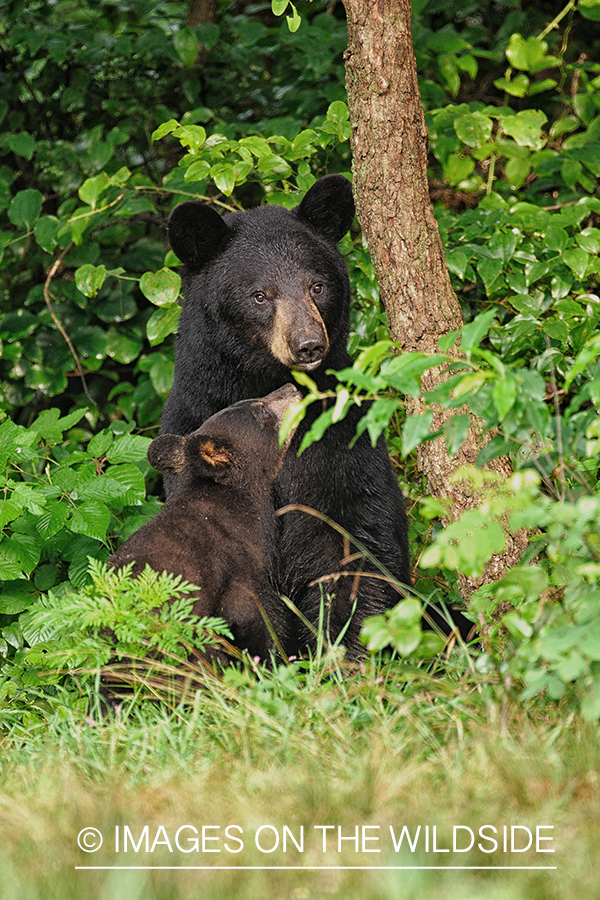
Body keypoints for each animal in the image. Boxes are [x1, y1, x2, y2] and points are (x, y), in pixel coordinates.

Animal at [162, 174, 410, 652]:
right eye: (260, 295)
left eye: (317, 285)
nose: (308, 344)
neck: (265, 386)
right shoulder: (194, 418)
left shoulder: (342, 441)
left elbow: (353, 542)